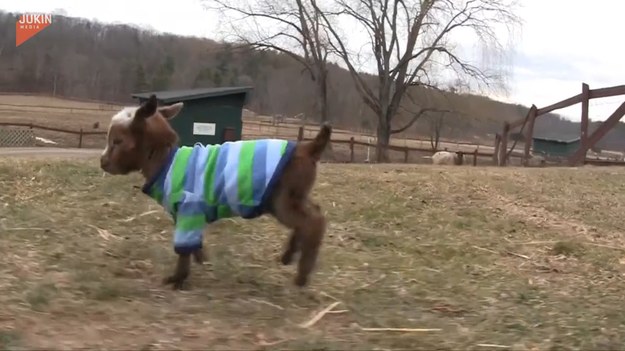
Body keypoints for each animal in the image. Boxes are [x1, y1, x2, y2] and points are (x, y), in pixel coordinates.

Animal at [99, 95, 332, 290]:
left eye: (117, 141)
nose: (103, 162)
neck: (165, 162)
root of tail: (308, 148)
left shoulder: (189, 207)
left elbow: (184, 245)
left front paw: (177, 278)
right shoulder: (188, 214)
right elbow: (193, 242)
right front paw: (201, 259)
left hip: (283, 198)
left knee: (314, 221)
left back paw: (301, 275)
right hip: (292, 196)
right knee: (312, 214)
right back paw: (289, 255)